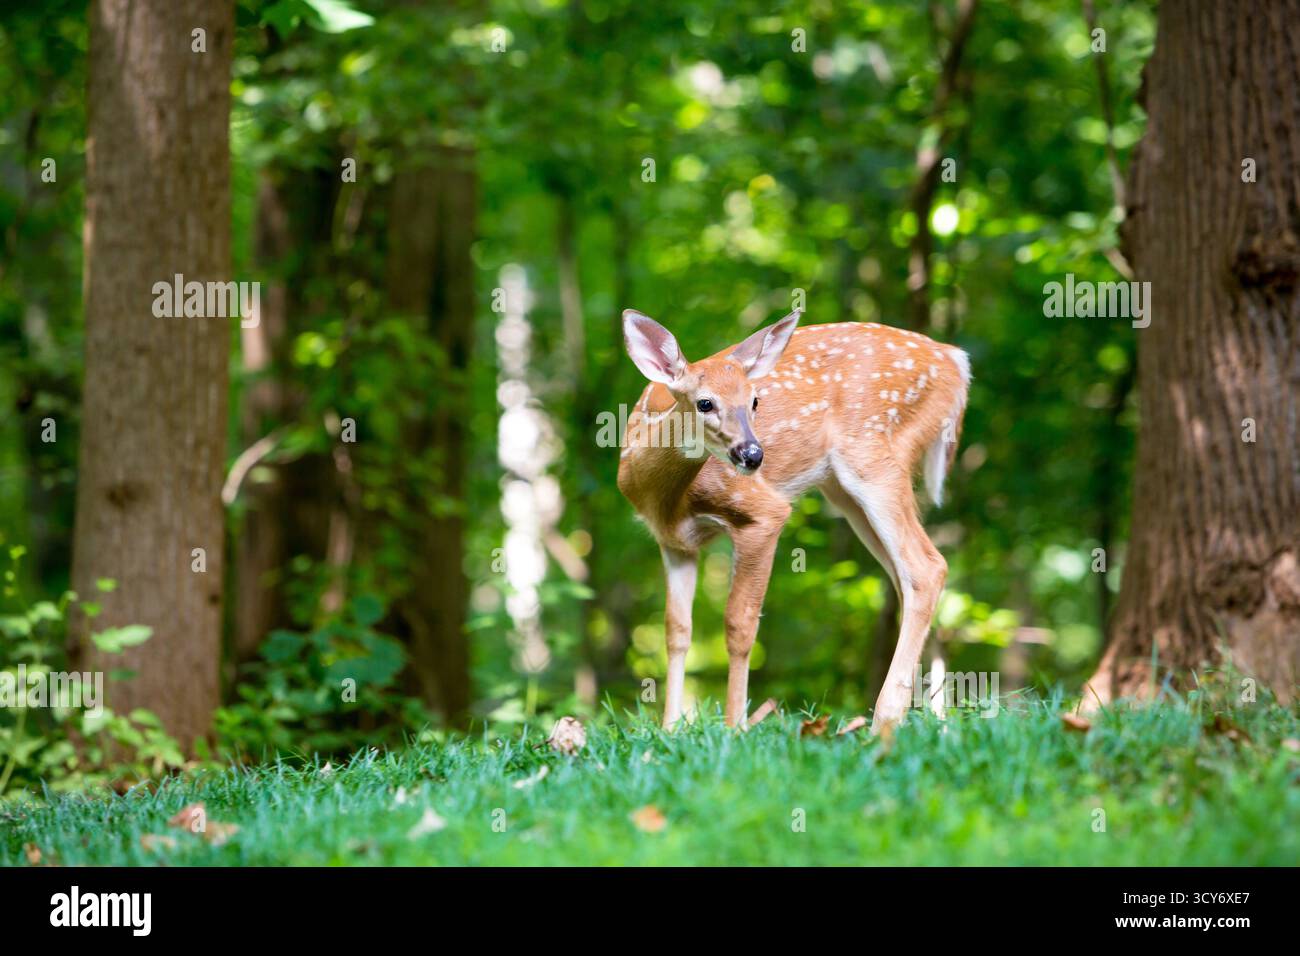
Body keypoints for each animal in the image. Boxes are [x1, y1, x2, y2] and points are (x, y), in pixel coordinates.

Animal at [617, 309, 970, 734]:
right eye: (704, 403)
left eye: (755, 400)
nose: (753, 455)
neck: (665, 499)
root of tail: (955, 362)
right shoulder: (674, 543)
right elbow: (676, 630)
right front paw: (671, 728)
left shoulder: (762, 512)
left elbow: (739, 624)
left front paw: (735, 727)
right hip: (843, 490)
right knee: (906, 578)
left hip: (872, 454)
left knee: (927, 567)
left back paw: (884, 721)